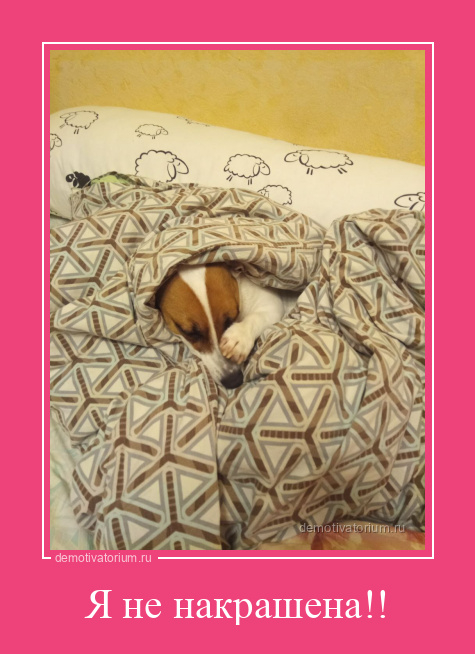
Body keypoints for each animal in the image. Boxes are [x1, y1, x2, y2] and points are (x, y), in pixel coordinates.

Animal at [156, 264, 296, 389]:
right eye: (189, 333)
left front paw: (239, 338)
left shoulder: (270, 303)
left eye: (231, 320)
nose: (234, 381)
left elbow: (255, 317)